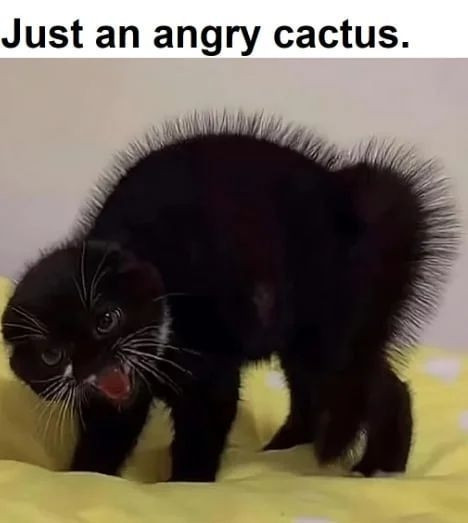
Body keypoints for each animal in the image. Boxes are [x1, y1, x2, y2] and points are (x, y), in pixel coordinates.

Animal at [0, 112, 460, 482]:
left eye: (107, 319)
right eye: (51, 355)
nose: (90, 362)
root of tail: (348, 196)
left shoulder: (210, 374)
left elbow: (201, 434)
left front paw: (185, 486)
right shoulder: (110, 402)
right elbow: (105, 436)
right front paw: (83, 476)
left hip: (331, 330)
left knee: (379, 387)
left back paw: (378, 469)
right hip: (303, 339)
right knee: (316, 393)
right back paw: (285, 450)